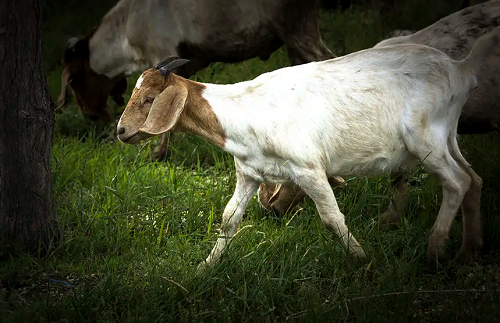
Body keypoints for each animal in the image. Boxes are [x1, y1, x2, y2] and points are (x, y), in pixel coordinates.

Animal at [56, 0, 334, 160]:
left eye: (75, 80)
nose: (91, 115)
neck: (125, 28)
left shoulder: (161, 50)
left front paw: (158, 154)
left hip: (296, 26)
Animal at [116, 26, 500, 268]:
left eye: (149, 99)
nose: (121, 131)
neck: (240, 110)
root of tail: (461, 69)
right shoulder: (249, 174)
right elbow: (229, 219)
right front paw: (204, 269)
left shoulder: (309, 169)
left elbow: (331, 217)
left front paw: (363, 261)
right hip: (446, 135)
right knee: (474, 179)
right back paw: (468, 251)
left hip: (425, 137)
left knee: (456, 181)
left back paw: (434, 253)